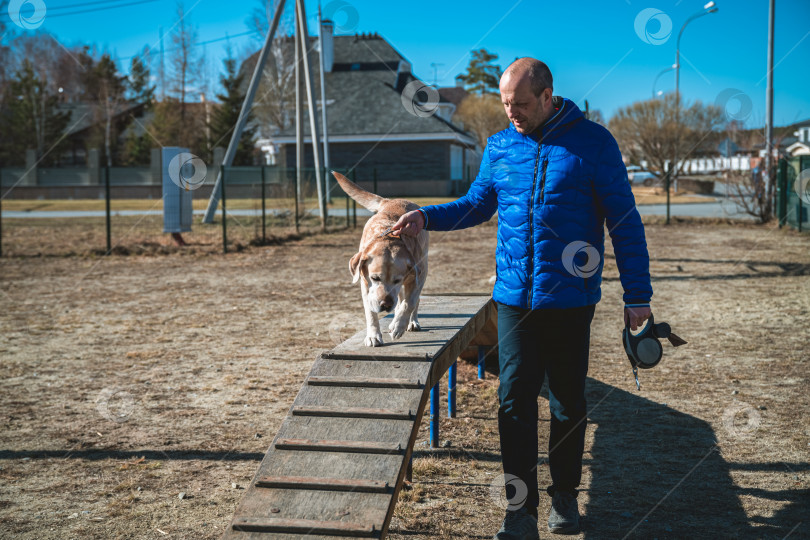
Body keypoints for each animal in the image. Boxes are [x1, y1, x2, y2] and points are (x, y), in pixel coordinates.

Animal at [330, 174, 426, 350]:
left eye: (397, 280)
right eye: (374, 278)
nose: (386, 305)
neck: (388, 238)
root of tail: (392, 200)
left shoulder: (417, 276)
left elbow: (409, 303)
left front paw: (399, 325)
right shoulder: (364, 284)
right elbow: (370, 313)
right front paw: (373, 336)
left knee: (411, 301)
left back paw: (411, 322)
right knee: (399, 299)